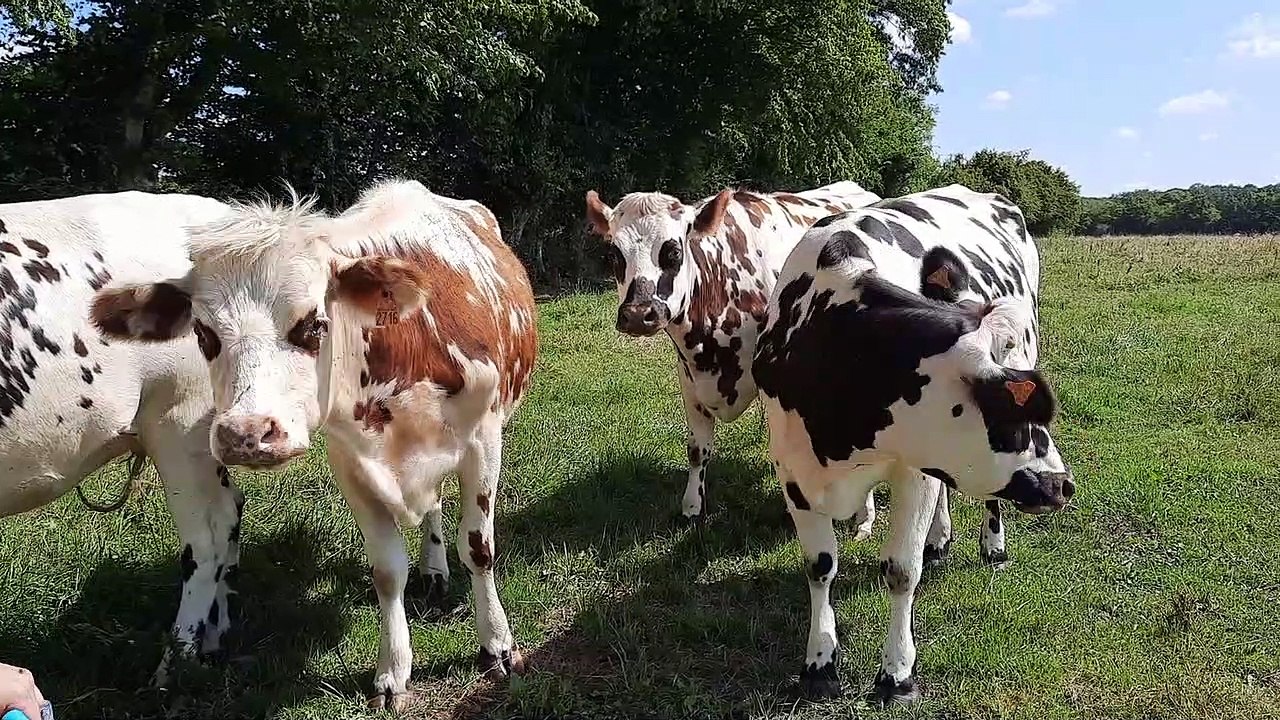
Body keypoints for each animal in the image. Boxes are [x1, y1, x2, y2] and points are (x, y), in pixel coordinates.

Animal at [91, 179, 538, 712]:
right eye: (203, 333)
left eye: (313, 324)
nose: (245, 433)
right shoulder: (353, 462)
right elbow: (387, 570)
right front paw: (393, 671)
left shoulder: (484, 440)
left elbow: (479, 548)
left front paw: (498, 645)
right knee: (431, 507)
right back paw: (433, 570)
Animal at [585, 182, 881, 522]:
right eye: (614, 254)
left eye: (673, 251)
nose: (637, 314)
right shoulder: (688, 376)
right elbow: (697, 449)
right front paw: (692, 507)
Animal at [751, 184, 1075, 703]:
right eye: (1009, 417)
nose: (1061, 485)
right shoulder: (792, 469)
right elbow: (820, 565)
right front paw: (819, 663)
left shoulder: (913, 471)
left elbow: (902, 570)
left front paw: (897, 674)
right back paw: (940, 539)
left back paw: (992, 546)